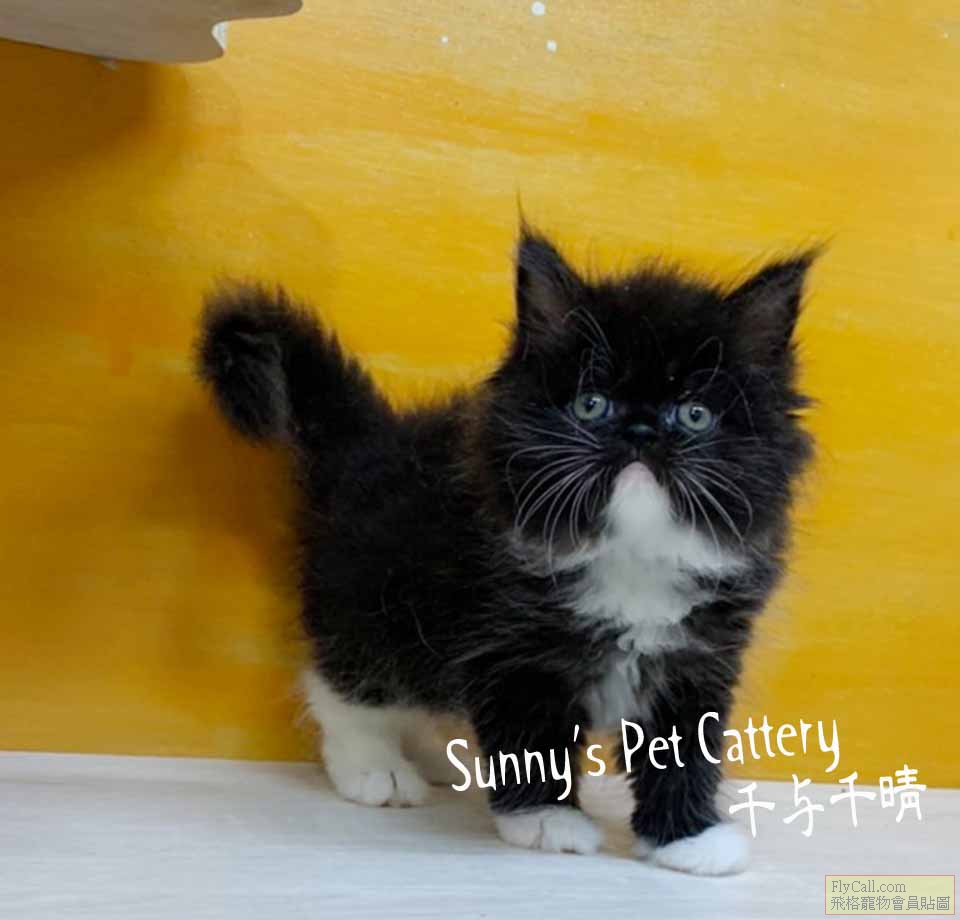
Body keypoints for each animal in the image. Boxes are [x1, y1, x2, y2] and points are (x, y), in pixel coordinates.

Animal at [196, 226, 815, 875]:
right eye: (591, 404)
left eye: (694, 414)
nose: (641, 432)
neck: (628, 554)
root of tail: (370, 438)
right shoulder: (513, 647)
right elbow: (531, 737)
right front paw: (545, 820)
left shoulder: (698, 657)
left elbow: (682, 751)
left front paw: (688, 837)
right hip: (375, 601)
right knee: (344, 680)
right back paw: (375, 768)